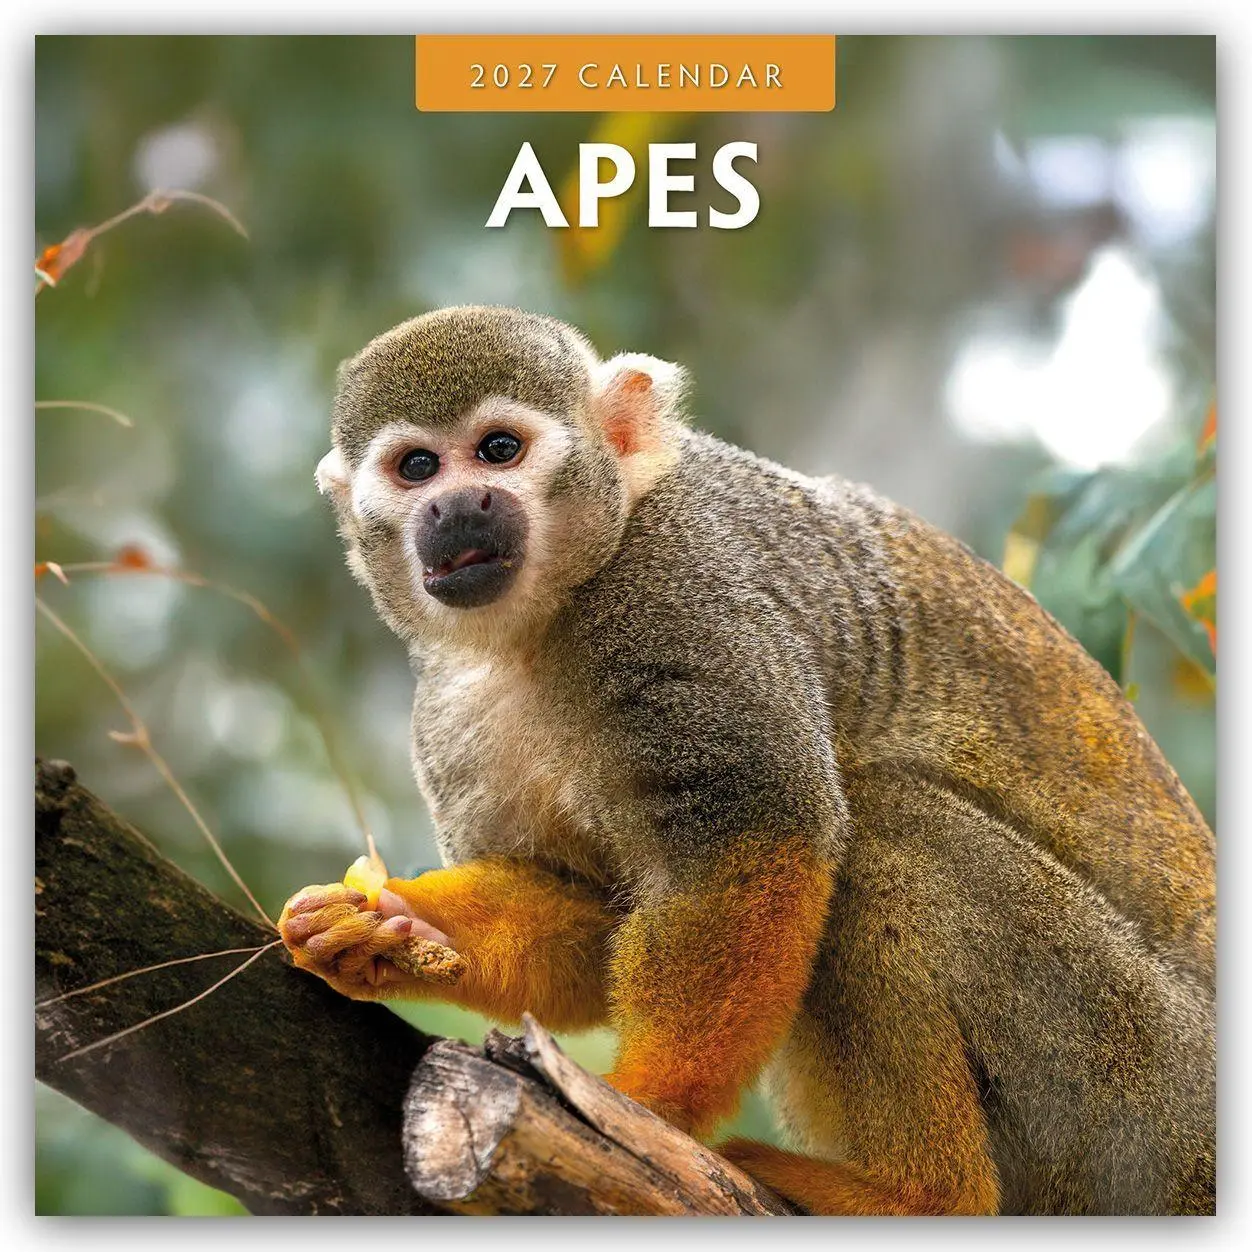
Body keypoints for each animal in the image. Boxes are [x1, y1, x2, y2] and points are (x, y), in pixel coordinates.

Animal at [280, 305, 1215, 1216]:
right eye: (416, 467)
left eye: (498, 450)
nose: (454, 507)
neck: (546, 618)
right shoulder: (447, 707)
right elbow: (593, 915)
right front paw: (395, 928)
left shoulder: (677, 591)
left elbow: (754, 839)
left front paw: (649, 1104)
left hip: (1137, 1091)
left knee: (882, 829)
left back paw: (921, 1196)